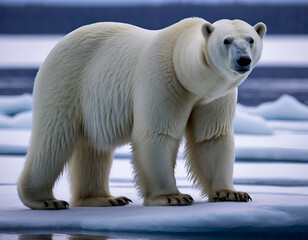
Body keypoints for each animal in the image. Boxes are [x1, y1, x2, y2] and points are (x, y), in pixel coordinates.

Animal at [18, 16, 266, 209]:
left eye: (251, 39)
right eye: (227, 40)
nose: (243, 59)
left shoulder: (214, 96)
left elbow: (212, 137)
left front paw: (231, 193)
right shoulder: (163, 79)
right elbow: (157, 134)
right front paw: (173, 197)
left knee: (94, 148)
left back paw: (105, 199)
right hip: (66, 82)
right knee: (53, 140)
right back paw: (45, 200)